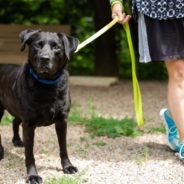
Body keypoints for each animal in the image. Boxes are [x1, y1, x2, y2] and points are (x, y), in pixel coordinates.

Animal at [0, 29, 78, 183]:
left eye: (56, 47)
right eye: (37, 45)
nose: (44, 58)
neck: (47, 84)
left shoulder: (62, 121)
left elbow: (63, 147)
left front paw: (68, 166)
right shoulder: (29, 124)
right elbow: (29, 154)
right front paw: (32, 175)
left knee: (15, 121)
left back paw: (17, 140)